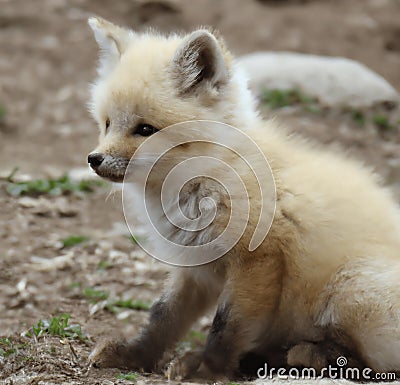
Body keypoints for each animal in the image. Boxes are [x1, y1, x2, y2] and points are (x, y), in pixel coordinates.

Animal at [86, 16, 400, 376]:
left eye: (145, 130)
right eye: (107, 124)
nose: (93, 159)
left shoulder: (259, 260)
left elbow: (226, 327)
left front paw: (207, 371)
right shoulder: (194, 268)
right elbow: (162, 317)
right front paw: (134, 356)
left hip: (352, 287)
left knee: (374, 363)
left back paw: (311, 355)